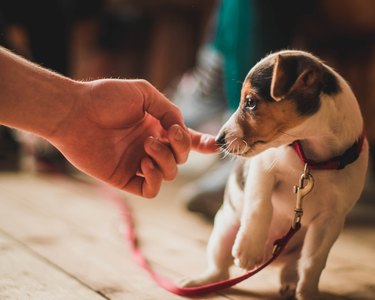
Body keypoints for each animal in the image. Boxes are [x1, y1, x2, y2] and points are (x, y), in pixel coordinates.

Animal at [185, 50, 370, 298]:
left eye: (250, 102)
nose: (219, 140)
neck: (313, 160)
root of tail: (272, 259)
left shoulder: (331, 220)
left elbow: (313, 263)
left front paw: (308, 293)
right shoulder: (262, 168)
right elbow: (260, 206)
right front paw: (249, 249)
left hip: (296, 249)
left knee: (292, 267)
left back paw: (291, 284)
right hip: (223, 231)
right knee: (220, 270)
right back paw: (200, 282)